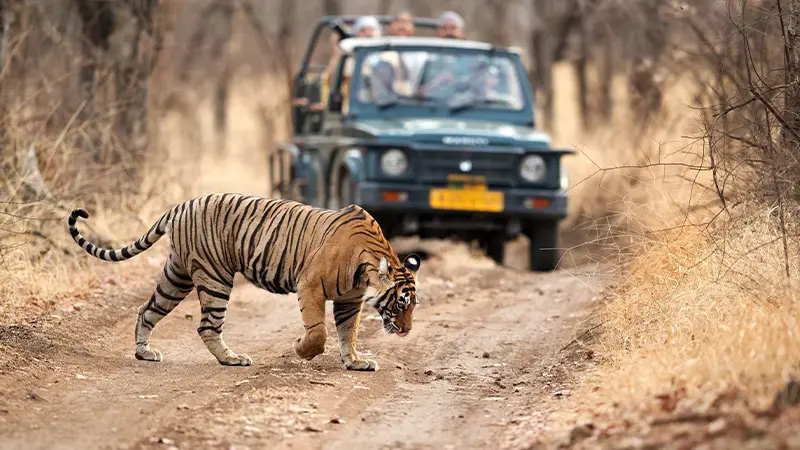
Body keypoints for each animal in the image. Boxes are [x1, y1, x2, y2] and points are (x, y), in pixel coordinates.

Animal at [66, 193, 421, 372]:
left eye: (413, 306)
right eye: (400, 303)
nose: (407, 331)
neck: (368, 265)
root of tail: (181, 205)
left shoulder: (350, 299)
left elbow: (349, 332)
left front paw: (356, 362)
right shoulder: (309, 285)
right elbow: (319, 332)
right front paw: (301, 349)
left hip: (177, 276)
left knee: (147, 309)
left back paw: (144, 353)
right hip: (215, 277)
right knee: (207, 326)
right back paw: (232, 359)